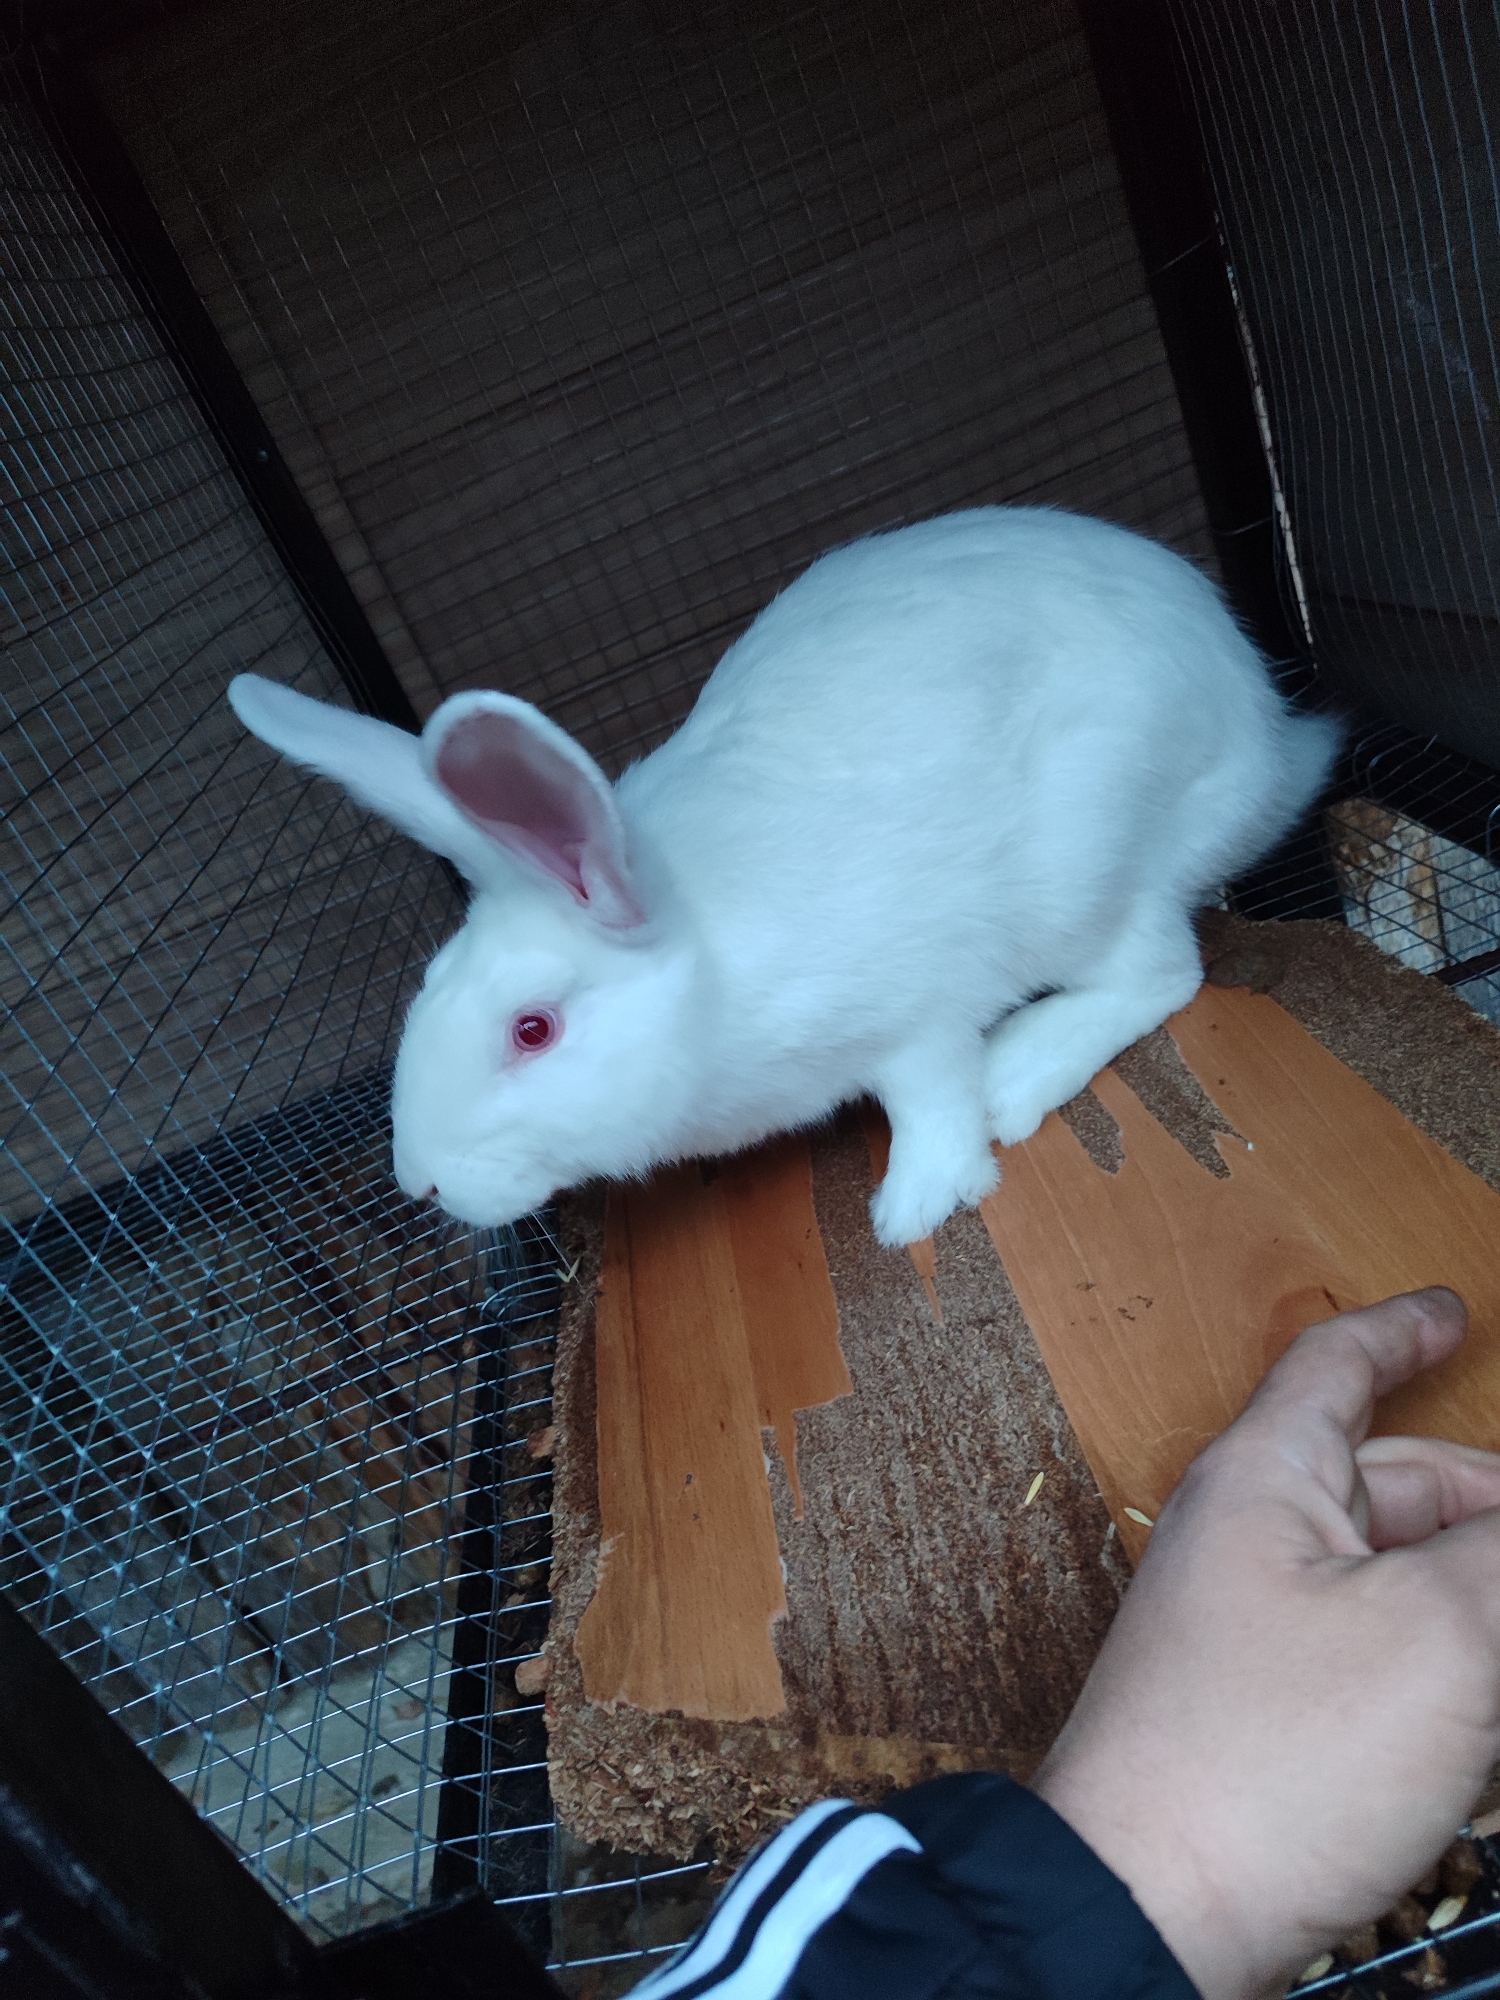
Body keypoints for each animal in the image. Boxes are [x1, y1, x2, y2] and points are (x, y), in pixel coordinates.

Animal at [228, 506, 1338, 1249]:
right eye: (427, 991)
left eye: (532, 1030)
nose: (418, 1183)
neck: (704, 964)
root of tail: (1267, 737)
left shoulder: (912, 1007)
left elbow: (930, 1096)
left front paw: (916, 1204)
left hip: (1095, 865)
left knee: (1163, 974)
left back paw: (1019, 1071)